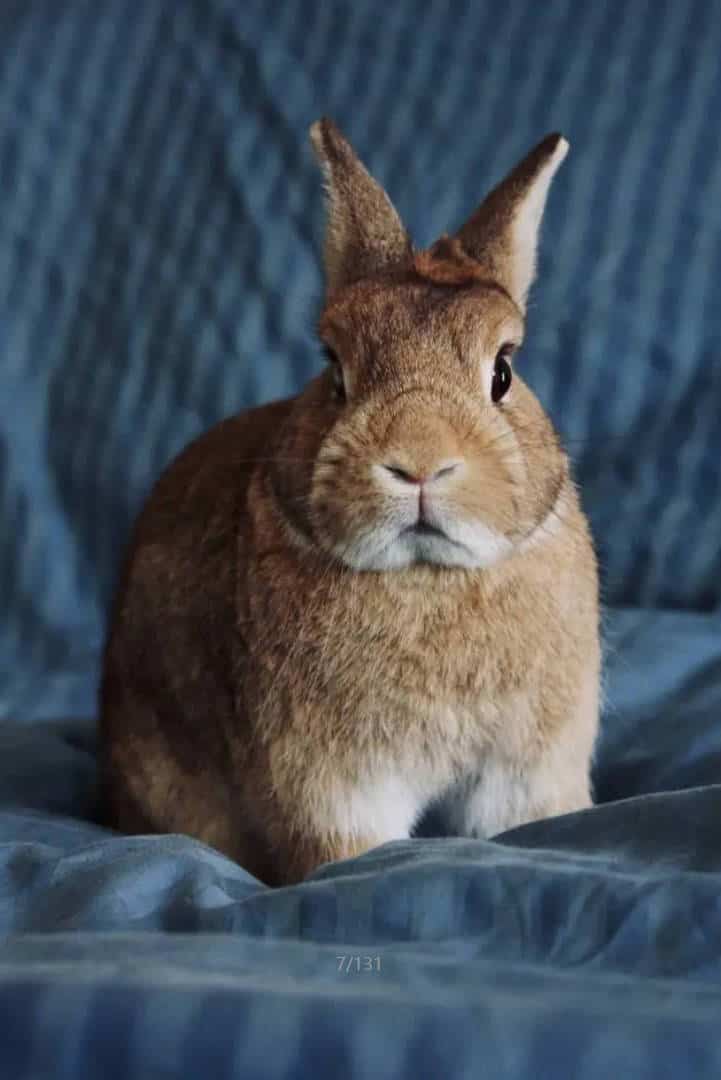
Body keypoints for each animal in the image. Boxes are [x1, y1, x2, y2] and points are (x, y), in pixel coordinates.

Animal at [98, 118, 600, 885]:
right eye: (334, 369)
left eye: (503, 372)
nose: (419, 462)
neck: (427, 578)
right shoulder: (328, 784)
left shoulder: (525, 767)